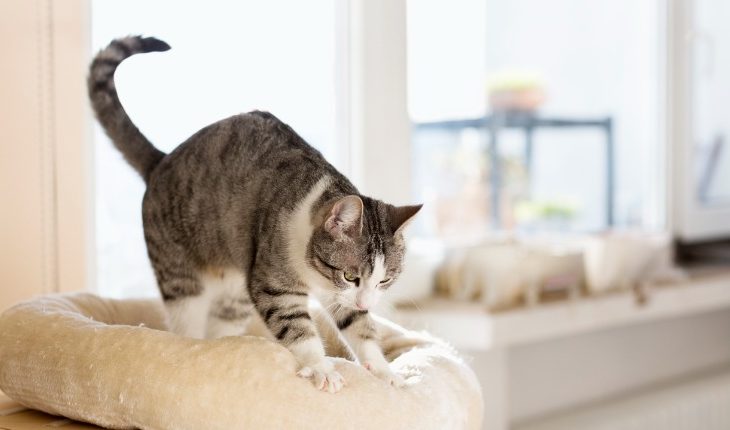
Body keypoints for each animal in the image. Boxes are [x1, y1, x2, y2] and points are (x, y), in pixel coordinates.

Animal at [89, 37, 420, 394]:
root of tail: (160, 161)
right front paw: (321, 367)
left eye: (385, 280)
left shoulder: (338, 297)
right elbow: (296, 326)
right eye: (350, 275)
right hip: (180, 275)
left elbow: (360, 327)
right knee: (185, 320)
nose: (366, 302)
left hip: (234, 294)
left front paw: (385, 371)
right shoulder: (273, 280)